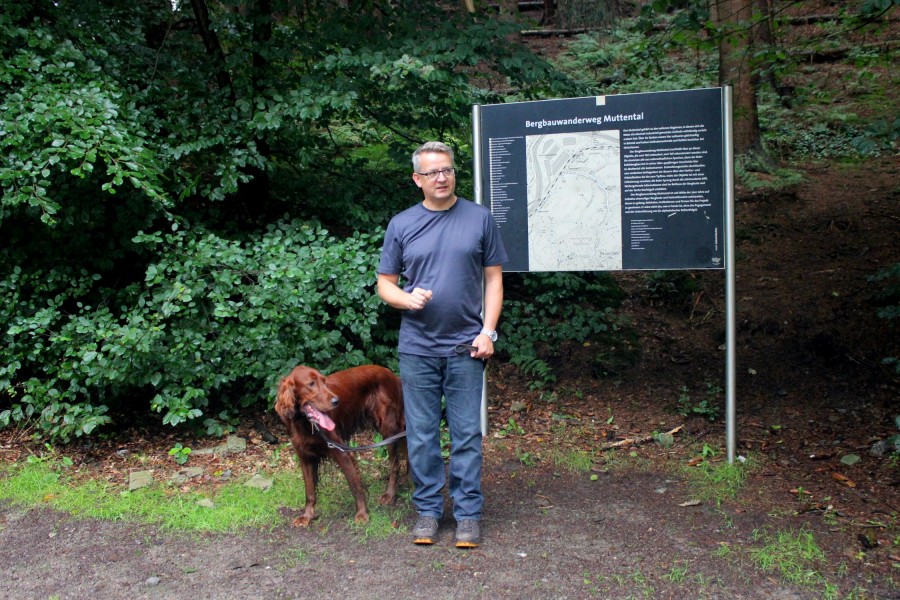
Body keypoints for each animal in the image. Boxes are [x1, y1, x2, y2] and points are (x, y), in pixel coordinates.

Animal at [274, 364, 405, 527]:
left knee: (395, 464)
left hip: (389, 427)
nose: (337, 401)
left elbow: (354, 485)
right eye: (311, 384)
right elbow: (309, 492)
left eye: (324, 381)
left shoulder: (341, 451)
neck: (305, 423)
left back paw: (389, 495)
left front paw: (362, 514)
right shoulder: (305, 457)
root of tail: (393, 375)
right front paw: (307, 516)